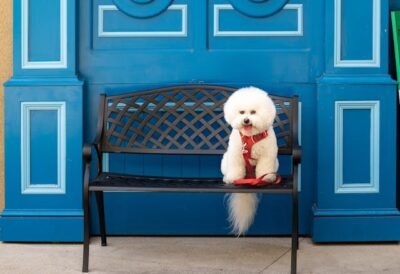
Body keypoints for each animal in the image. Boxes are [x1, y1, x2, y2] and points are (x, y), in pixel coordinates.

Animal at [220, 86, 280, 235]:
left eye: (253, 112)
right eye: (241, 112)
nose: (246, 120)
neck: (251, 136)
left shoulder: (267, 155)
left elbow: (264, 168)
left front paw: (266, 178)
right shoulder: (236, 153)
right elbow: (236, 168)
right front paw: (233, 178)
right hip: (225, 159)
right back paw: (226, 178)